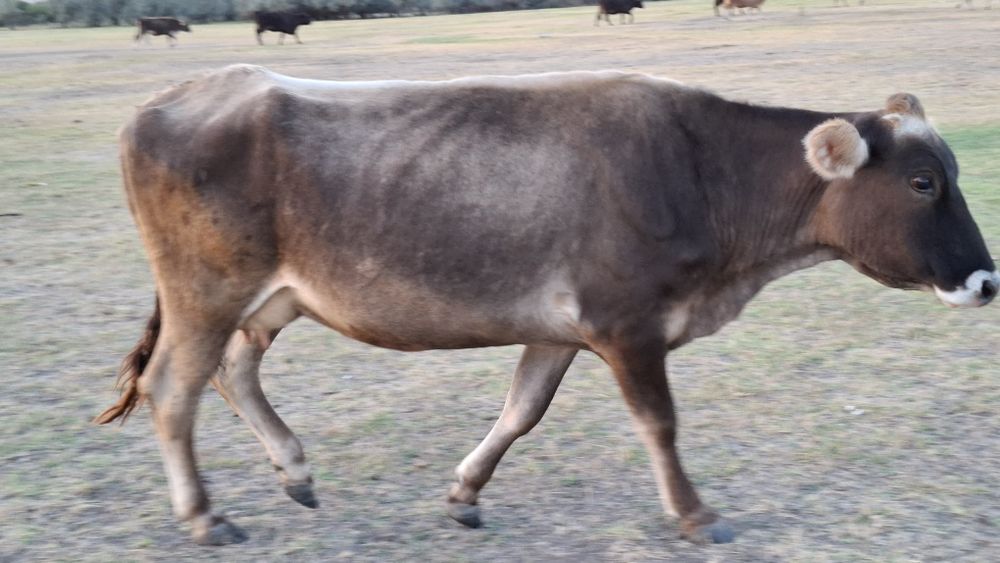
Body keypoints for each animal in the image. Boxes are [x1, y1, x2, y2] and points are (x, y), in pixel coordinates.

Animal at [97, 65, 998, 546]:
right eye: (925, 182)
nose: (987, 280)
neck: (703, 173)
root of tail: (174, 95)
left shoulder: (562, 330)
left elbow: (520, 410)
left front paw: (465, 491)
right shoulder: (628, 325)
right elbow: (659, 423)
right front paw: (695, 513)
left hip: (272, 294)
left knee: (234, 369)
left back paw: (293, 467)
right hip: (205, 289)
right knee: (175, 387)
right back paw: (204, 515)